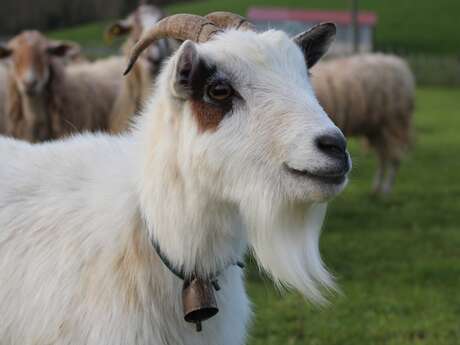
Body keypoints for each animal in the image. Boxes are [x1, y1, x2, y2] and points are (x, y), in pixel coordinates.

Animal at [310, 52, 416, 195]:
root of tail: (398, 63)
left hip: (394, 123)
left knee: (394, 158)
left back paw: (386, 190)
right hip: (377, 128)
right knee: (383, 157)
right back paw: (376, 188)